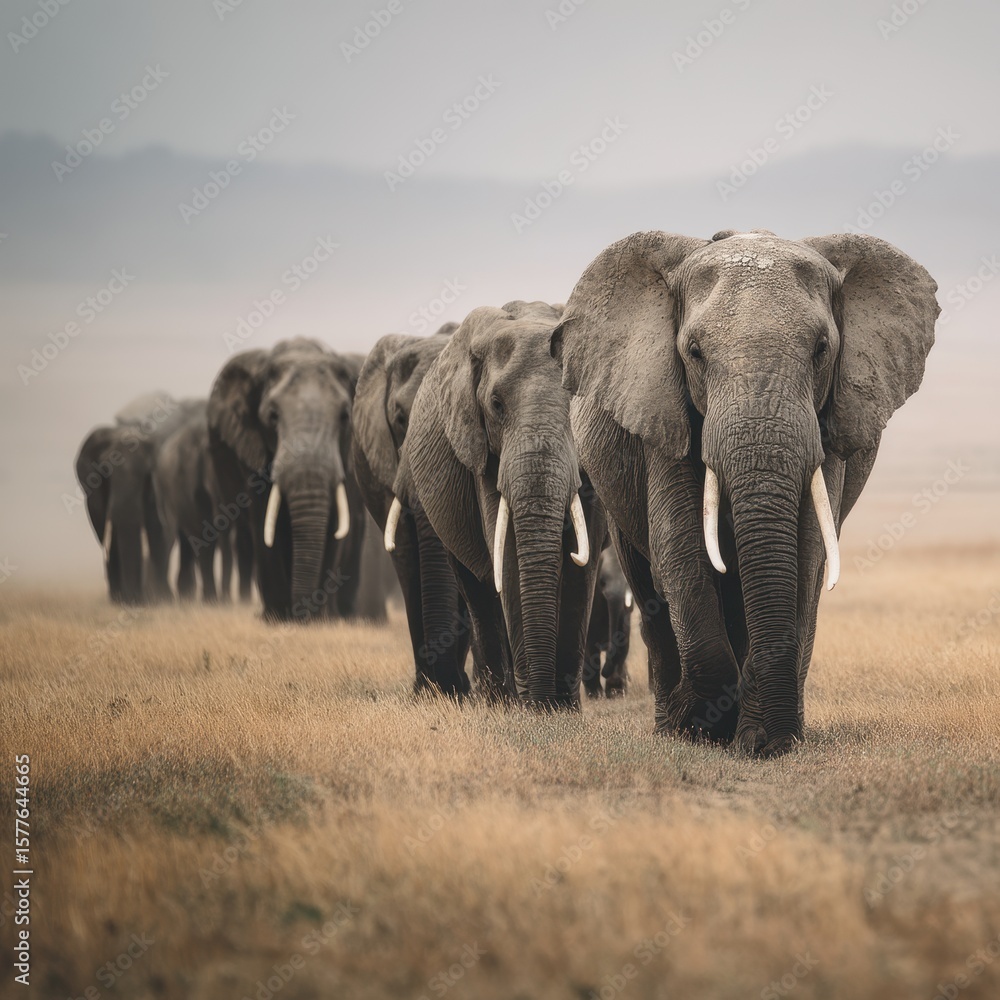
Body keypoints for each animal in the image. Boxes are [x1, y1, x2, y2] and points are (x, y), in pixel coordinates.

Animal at [75, 393, 201, 604]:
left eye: (146, 474)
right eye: (104, 473)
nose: (134, 599)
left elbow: (162, 530)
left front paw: (160, 600)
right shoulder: (93, 493)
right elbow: (106, 533)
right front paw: (119, 600)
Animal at [207, 338, 365, 622]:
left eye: (344, 417)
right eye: (272, 416)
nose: (300, 614)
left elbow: (335, 527)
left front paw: (318, 619)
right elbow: (265, 524)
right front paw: (277, 618)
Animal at [392, 301, 607, 708]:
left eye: (576, 401)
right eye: (495, 405)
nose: (543, 700)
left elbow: (583, 564)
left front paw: (564, 708)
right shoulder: (482, 451)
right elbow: (505, 553)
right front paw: (537, 706)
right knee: (477, 588)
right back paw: (498, 701)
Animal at [583, 546, 633, 698]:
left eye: (628, 581)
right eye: (602, 581)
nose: (604, 672)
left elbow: (623, 637)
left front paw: (616, 692)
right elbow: (589, 646)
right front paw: (595, 695)